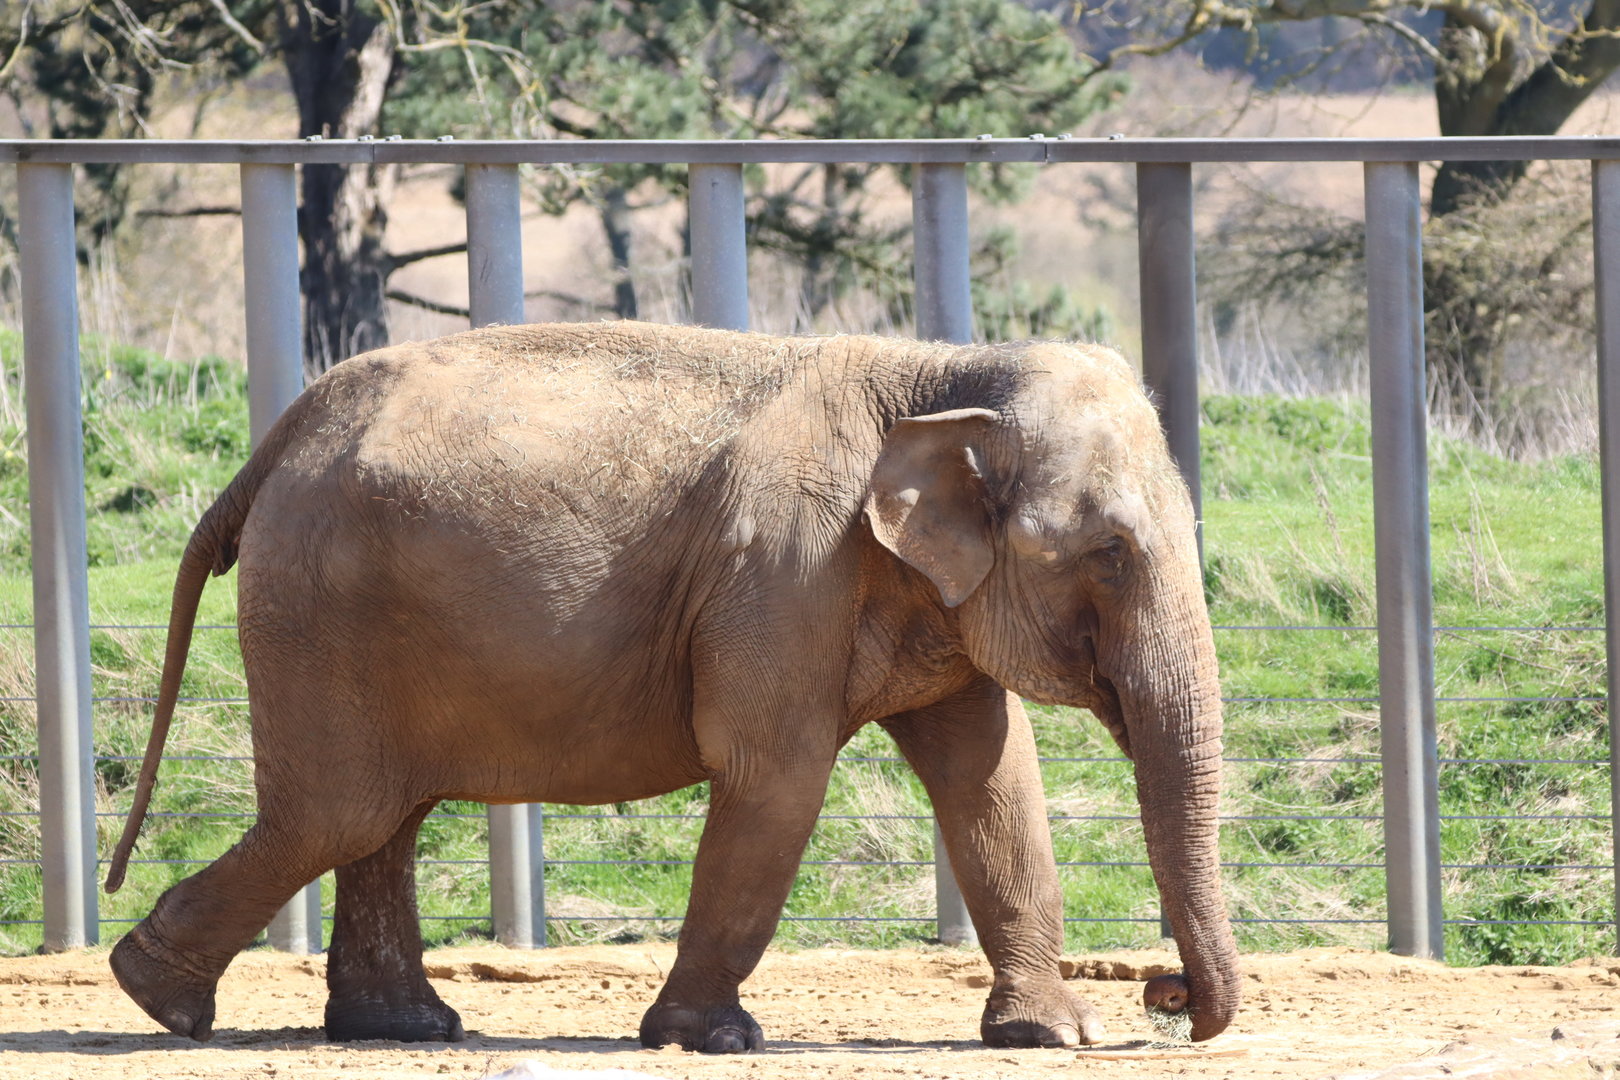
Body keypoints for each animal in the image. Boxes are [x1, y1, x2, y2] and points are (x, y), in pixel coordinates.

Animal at [102, 320, 1240, 1051]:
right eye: (1109, 554)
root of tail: (278, 438)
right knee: (337, 811)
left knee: (383, 813)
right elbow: (777, 778)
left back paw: (398, 1029)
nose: (1163, 993)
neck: (940, 373)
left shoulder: (918, 590)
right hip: (320, 607)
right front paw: (713, 1040)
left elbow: (991, 782)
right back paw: (159, 1001)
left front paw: (1057, 1035)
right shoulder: (783, 571)